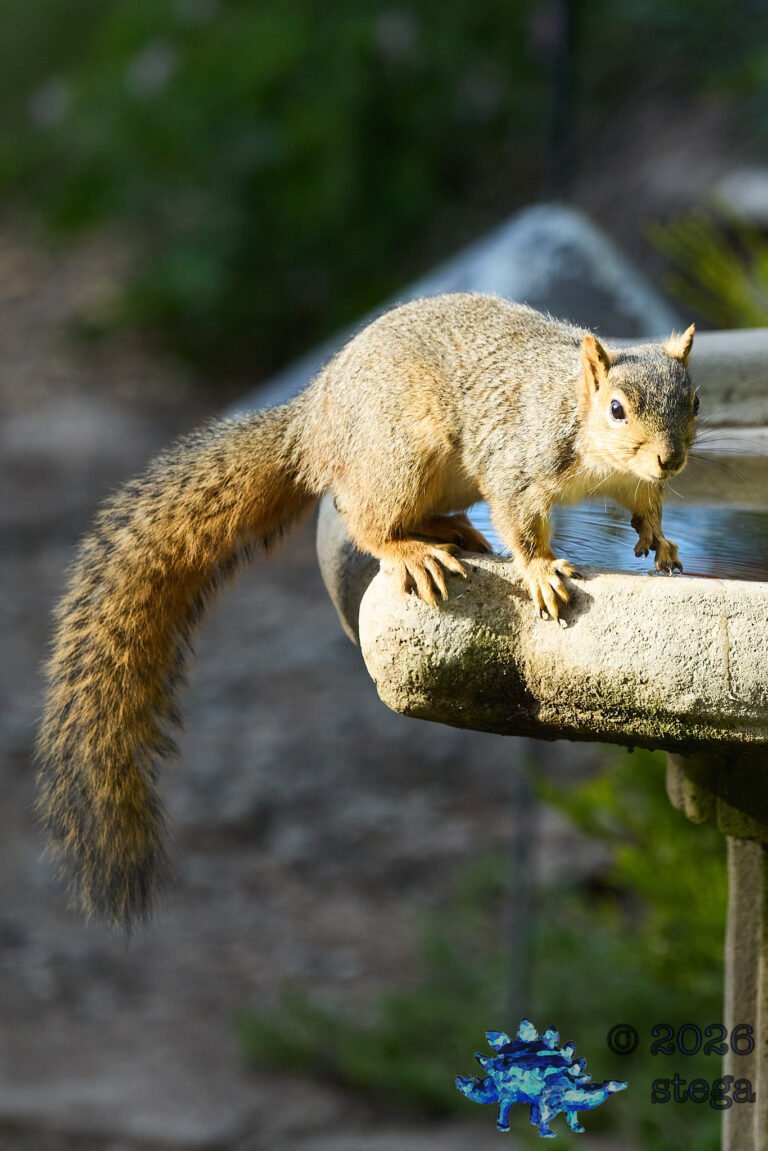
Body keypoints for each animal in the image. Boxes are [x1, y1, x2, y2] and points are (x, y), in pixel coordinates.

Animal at [36, 292, 697, 929]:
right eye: (617, 409)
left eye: (693, 401)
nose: (671, 459)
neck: (591, 440)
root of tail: (312, 424)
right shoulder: (520, 462)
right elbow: (518, 521)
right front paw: (539, 570)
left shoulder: (633, 482)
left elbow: (647, 506)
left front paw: (661, 541)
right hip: (403, 454)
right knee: (363, 517)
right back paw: (414, 551)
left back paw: (452, 529)